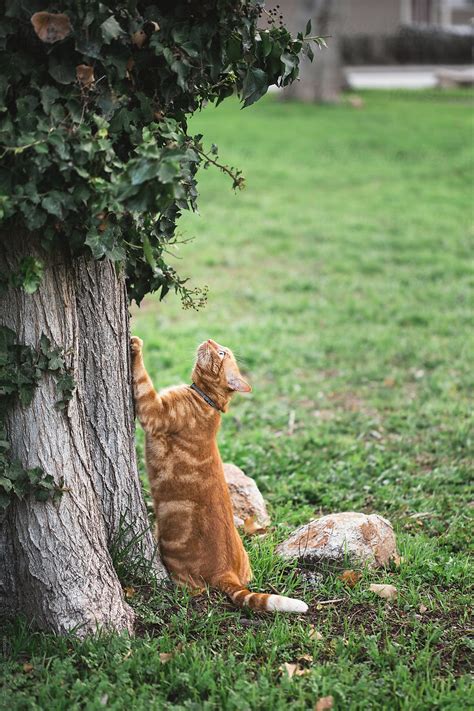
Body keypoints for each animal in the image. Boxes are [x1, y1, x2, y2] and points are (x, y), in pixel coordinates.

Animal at [131, 336, 308, 616]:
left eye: (222, 352)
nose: (209, 340)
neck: (208, 401)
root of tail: (227, 574)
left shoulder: (153, 412)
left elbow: (142, 379)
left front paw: (136, 345)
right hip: (246, 564)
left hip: (175, 558)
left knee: (191, 589)